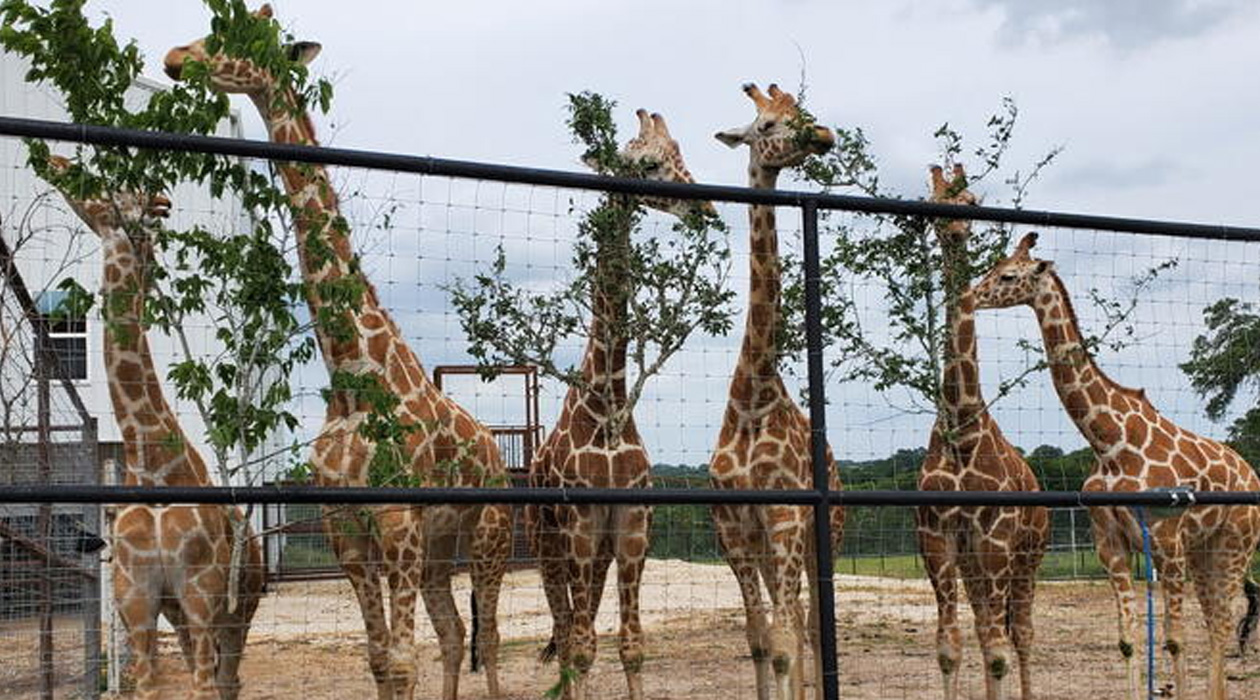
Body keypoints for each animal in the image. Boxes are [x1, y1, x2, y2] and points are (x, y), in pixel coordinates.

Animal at [44, 155, 263, 700]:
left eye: (111, 190)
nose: (55, 163)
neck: (153, 464)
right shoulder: (139, 603)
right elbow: (147, 686)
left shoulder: (202, 596)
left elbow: (205, 687)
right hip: (178, 613)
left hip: (236, 610)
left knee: (227, 679)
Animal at [164, 7, 513, 699]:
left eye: (238, 36)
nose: (173, 58)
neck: (352, 371)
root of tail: (496, 450)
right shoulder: (345, 525)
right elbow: (380, 658)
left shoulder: (397, 520)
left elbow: (402, 661)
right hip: (440, 550)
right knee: (456, 631)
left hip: (488, 533)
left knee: (488, 634)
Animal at [526, 108, 714, 700]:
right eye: (649, 164)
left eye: (681, 155)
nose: (705, 207)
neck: (607, 404)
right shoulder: (580, 528)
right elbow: (582, 645)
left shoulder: (631, 529)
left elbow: (631, 644)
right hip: (546, 543)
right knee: (567, 630)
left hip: (598, 553)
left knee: (579, 624)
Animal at [972, 232, 1260, 700]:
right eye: (994, 269)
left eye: (1009, 275)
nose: (973, 295)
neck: (1110, 442)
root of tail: (1250, 471)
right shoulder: (1110, 542)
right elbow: (1128, 640)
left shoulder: (1165, 539)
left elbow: (1174, 640)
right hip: (1205, 549)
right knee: (1215, 623)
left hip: (1236, 542)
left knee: (1219, 624)